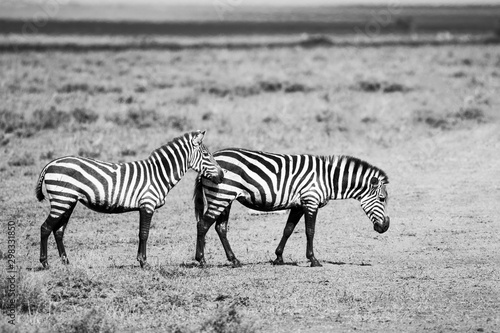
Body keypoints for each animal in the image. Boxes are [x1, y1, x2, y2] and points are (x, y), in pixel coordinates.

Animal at [38, 129, 226, 268]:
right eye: (207, 155)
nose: (222, 176)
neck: (158, 174)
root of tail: (51, 163)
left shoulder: (144, 205)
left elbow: (141, 233)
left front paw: (140, 260)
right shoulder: (147, 204)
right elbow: (144, 233)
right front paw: (144, 262)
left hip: (68, 201)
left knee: (58, 231)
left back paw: (66, 262)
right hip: (62, 199)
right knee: (45, 228)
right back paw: (45, 263)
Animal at [193, 148, 388, 268]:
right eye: (382, 198)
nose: (385, 227)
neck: (327, 179)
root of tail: (213, 157)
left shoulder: (298, 206)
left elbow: (288, 229)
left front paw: (278, 257)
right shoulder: (311, 201)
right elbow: (310, 231)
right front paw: (313, 259)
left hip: (226, 198)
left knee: (220, 228)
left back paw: (234, 260)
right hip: (222, 196)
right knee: (203, 225)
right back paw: (201, 260)